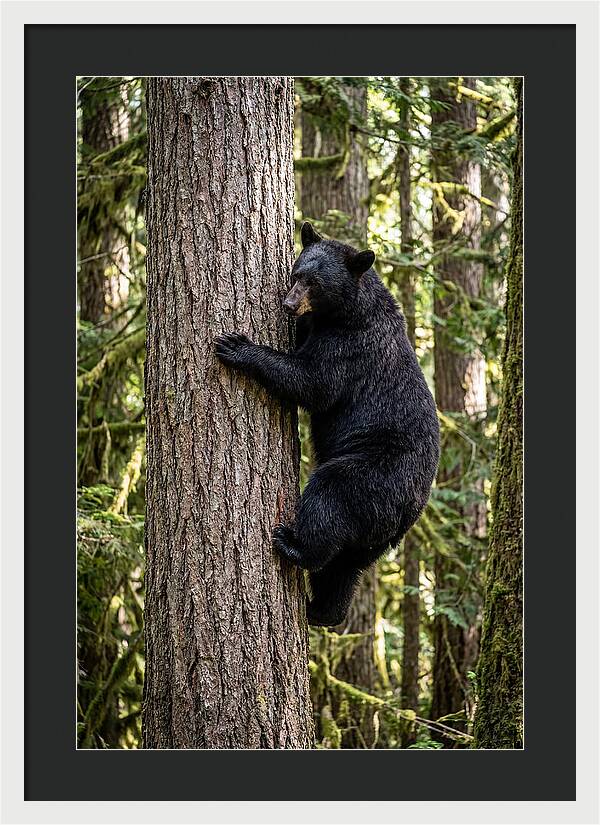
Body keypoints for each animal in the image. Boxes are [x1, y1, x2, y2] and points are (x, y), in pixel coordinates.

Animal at [215, 221, 440, 627]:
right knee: (345, 567)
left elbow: (312, 382)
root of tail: (410, 510)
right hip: (374, 535)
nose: (289, 304)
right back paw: (323, 610)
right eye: (296, 273)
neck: (347, 311)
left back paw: (292, 545)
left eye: (315, 283)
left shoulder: (349, 347)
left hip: (372, 475)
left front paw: (237, 346)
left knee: (329, 499)